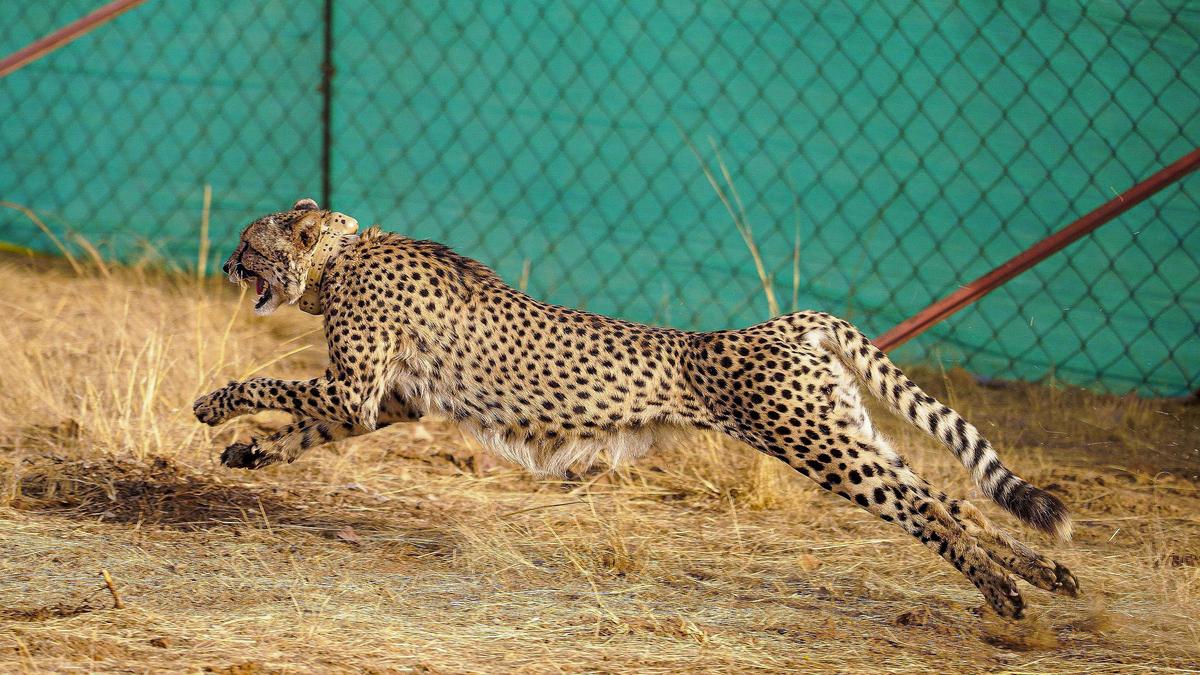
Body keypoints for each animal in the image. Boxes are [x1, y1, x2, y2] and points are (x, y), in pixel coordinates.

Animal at [194, 197, 1080, 619]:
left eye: (247, 243)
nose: (228, 265)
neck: (343, 255)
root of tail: (784, 322)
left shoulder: (358, 388)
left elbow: (272, 385)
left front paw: (213, 404)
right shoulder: (382, 403)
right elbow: (304, 424)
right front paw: (251, 452)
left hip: (817, 444)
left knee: (927, 510)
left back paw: (1003, 594)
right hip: (845, 430)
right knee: (955, 500)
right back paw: (1044, 571)